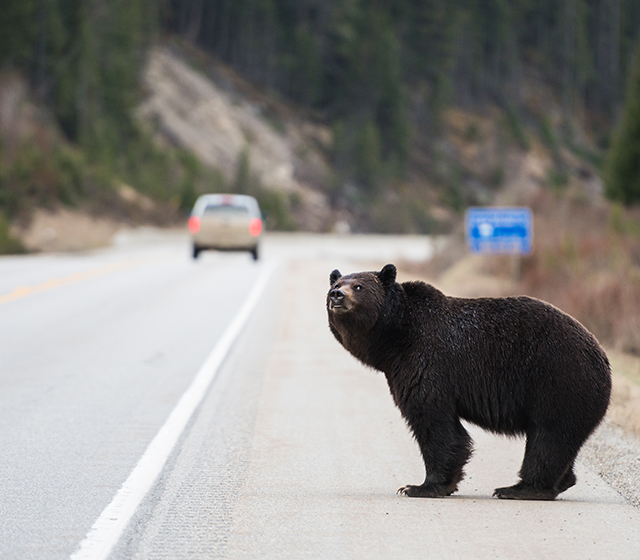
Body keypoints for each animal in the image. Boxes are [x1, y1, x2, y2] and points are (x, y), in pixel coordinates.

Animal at [326, 263, 611, 500]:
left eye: (359, 286)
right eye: (336, 284)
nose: (337, 296)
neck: (396, 336)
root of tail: (601, 356)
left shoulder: (427, 360)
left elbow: (433, 420)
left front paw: (420, 486)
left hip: (559, 382)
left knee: (548, 438)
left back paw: (519, 489)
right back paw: (556, 483)